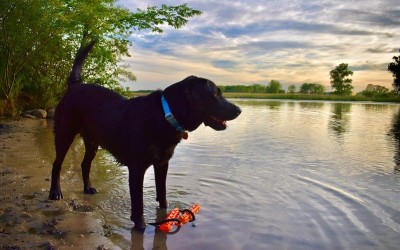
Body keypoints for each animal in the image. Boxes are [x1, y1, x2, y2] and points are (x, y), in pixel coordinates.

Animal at [47, 40, 241, 229]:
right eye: (216, 94)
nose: (239, 110)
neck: (164, 115)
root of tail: (75, 85)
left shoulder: (162, 163)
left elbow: (162, 194)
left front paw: (165, 215)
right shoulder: (137, 168)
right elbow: (138, 202)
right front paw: (140, 225)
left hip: (93, 142)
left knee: (85, 164)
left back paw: (88, 188)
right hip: (65, 134)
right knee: (57, 164)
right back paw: (55, 192)